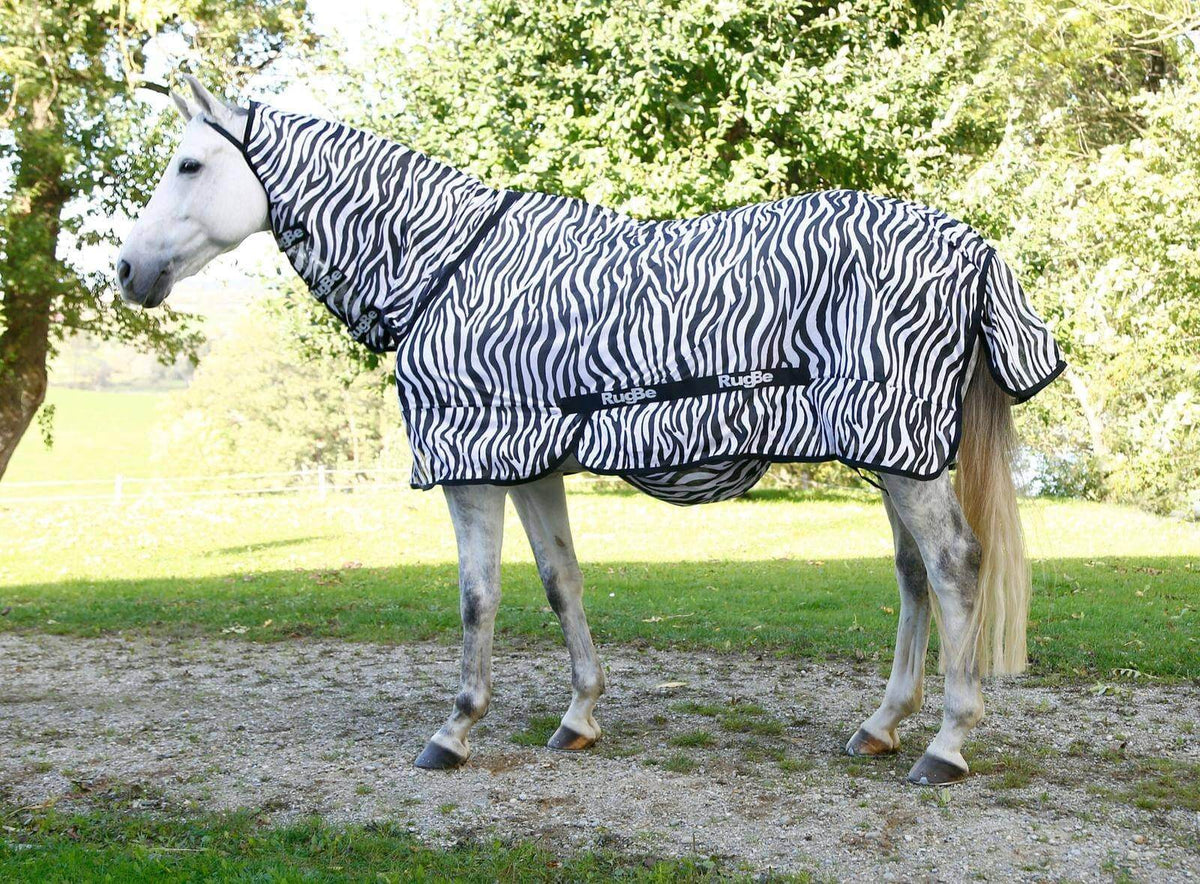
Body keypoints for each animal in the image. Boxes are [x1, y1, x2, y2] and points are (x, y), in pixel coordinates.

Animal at [117, 75, 1065, 786]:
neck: (444, 269)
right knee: (913, 574)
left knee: (954, 566)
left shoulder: (471, 467)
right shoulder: (529, 462)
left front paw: (454, 731)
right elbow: (560, 581)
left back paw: (946, 745)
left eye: (190, 162)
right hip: (889, 450)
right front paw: (579, 716)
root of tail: (973, 247)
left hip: (902, 455)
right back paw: (882, 725)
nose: (126, 270)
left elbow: (478, 597)